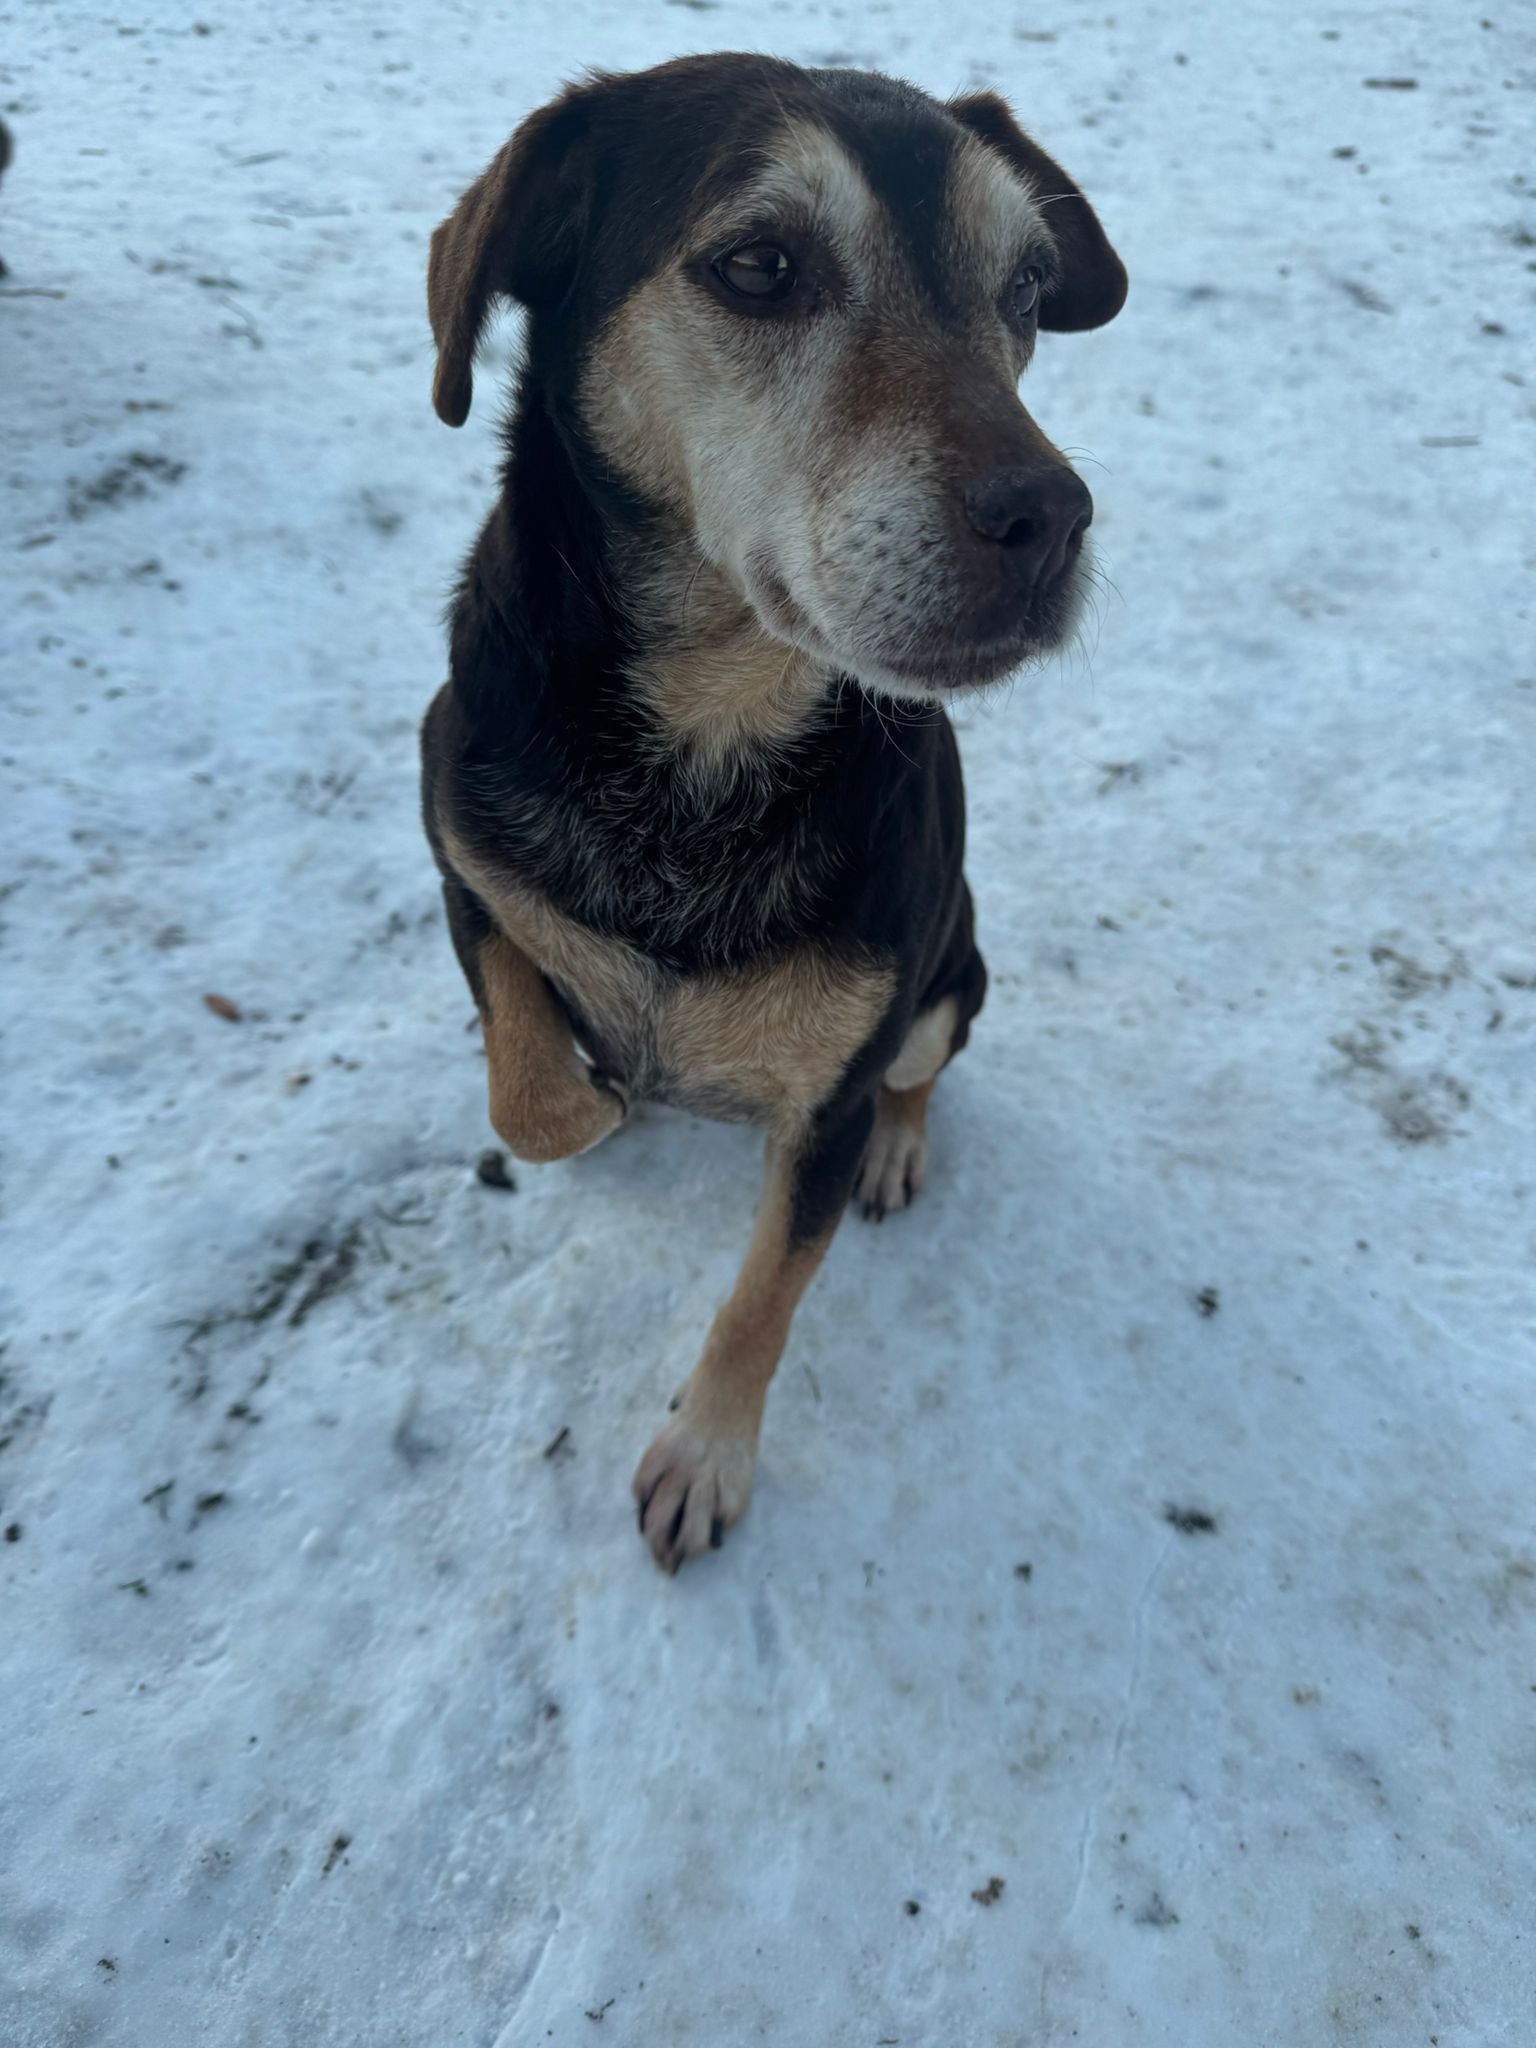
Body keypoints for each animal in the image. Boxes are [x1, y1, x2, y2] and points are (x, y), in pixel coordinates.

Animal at [420, 55, 1125, 1571]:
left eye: (1027, 285)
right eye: (758, 265)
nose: (1052, 515)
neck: (699, 748)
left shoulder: (832, 1090)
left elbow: (765, 1293)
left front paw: (707, 1457)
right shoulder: (458, 852)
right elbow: (530, 1088)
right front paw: (595, 1079)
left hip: (953, 975)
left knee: (927, 1066)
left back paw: (904, 1150)